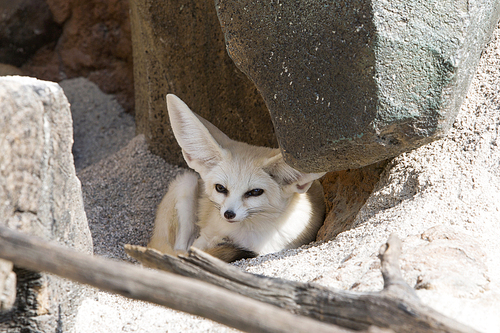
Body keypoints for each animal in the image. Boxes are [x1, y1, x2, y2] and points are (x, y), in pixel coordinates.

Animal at [148, 94, 326, 262]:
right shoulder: (202, 240)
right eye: (220, 188)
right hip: (187, 182)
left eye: (255, 192)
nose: (228, 214)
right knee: (177, 250)